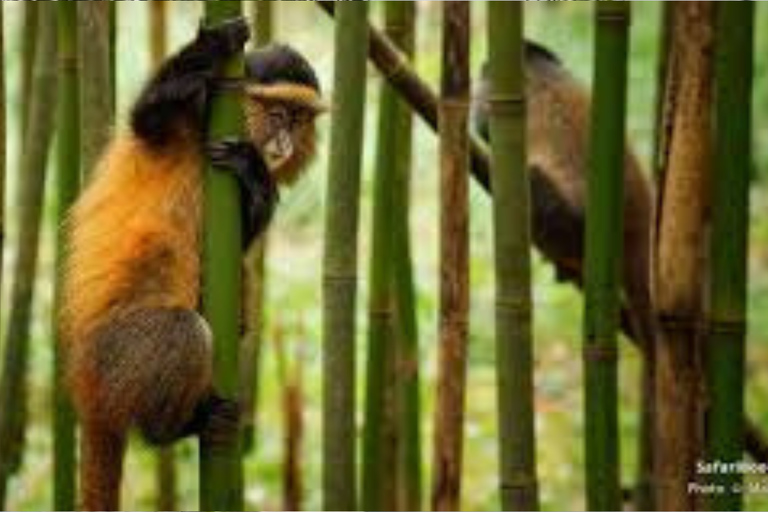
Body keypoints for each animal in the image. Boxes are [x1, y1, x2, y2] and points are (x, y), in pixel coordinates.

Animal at [59, 18, 324, 511]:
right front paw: (215, 43)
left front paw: (254, 174)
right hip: (116, 355)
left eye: (298, 119)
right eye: (277, 113)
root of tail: (85, 385)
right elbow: (150, 112)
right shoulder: (174, 125)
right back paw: (178, 427)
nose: (284, 141)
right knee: (183, 330)